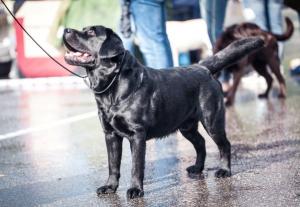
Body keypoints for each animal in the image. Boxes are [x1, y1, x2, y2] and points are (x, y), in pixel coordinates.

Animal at [62, 25, 262, 199]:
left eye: (90, 32)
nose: (66, 30)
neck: (113, 87)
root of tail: (202, 67)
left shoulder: (137, 134)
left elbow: (136, 166)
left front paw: (135, 190)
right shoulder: (110, 134)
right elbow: (113, 165)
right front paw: (110, 187)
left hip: (212, 121)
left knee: (224, 145)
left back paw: (224, 171)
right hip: (186, 127)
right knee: (201, 143)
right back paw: (197, 168)